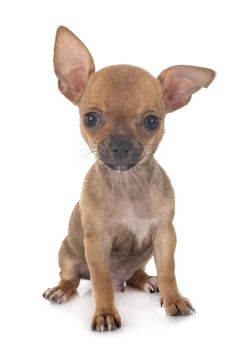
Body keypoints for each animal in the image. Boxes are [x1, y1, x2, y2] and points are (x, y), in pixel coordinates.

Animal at [42, 26, 215, 330]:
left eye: (151, 121)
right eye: (90, 119)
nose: (121, 145)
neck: (128, 185)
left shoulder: (165, 236)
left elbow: (169, 270)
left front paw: (174, 299)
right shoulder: (96, 243)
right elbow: (100, 281)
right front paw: (105, 312)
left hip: (142, 256)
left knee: (136, 273)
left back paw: (146, 280)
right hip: (68, 253)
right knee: (72, 278)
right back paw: (61, 290)